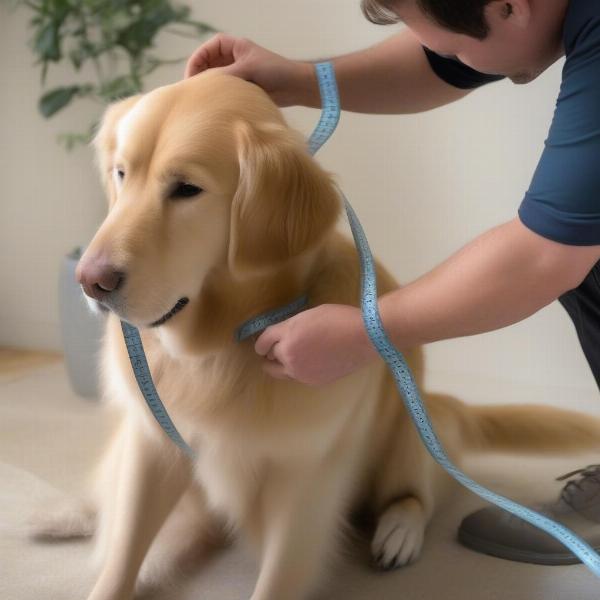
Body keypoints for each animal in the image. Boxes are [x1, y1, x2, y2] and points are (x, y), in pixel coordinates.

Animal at [35, 70, 600, 600]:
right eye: (121, 174)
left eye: (187, 189)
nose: (90, 280)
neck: (218, 348)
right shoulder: (152, 442)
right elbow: (124, 547)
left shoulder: (304, 482)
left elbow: (276, 576)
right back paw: (66, 514)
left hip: (407, 433)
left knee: (415, 494)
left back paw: (398, 533)